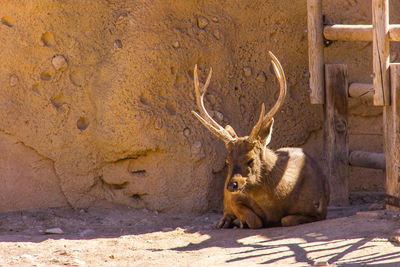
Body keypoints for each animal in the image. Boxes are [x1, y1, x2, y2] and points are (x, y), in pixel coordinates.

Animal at [192, 52, 330, 230]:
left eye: (250, 159)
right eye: (227, 161)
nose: (232, 185)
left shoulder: (319, 208)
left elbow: (286, 220)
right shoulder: (236, 198)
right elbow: (255, 221)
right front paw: (240, 221)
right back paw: (226, 221)